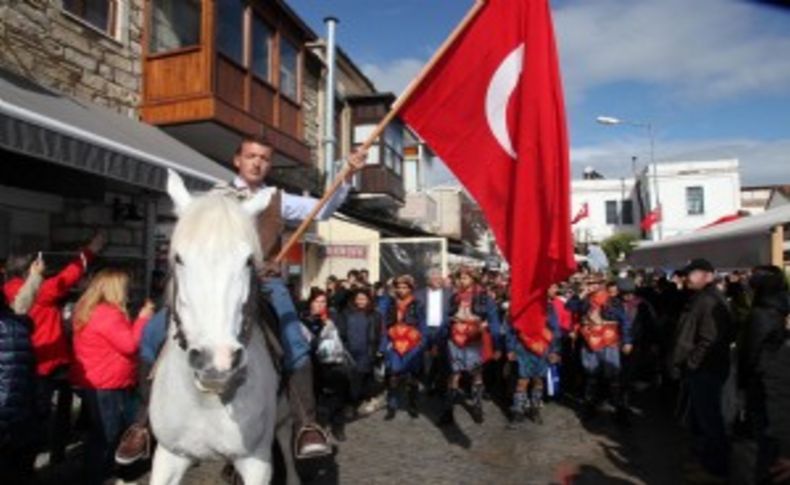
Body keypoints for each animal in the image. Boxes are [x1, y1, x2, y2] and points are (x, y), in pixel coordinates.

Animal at [150, 170, 284, 484]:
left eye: (248, 261)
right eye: (178, 258)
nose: (217, 360)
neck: (208, 398)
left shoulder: (257, 462)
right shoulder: (169, 455)